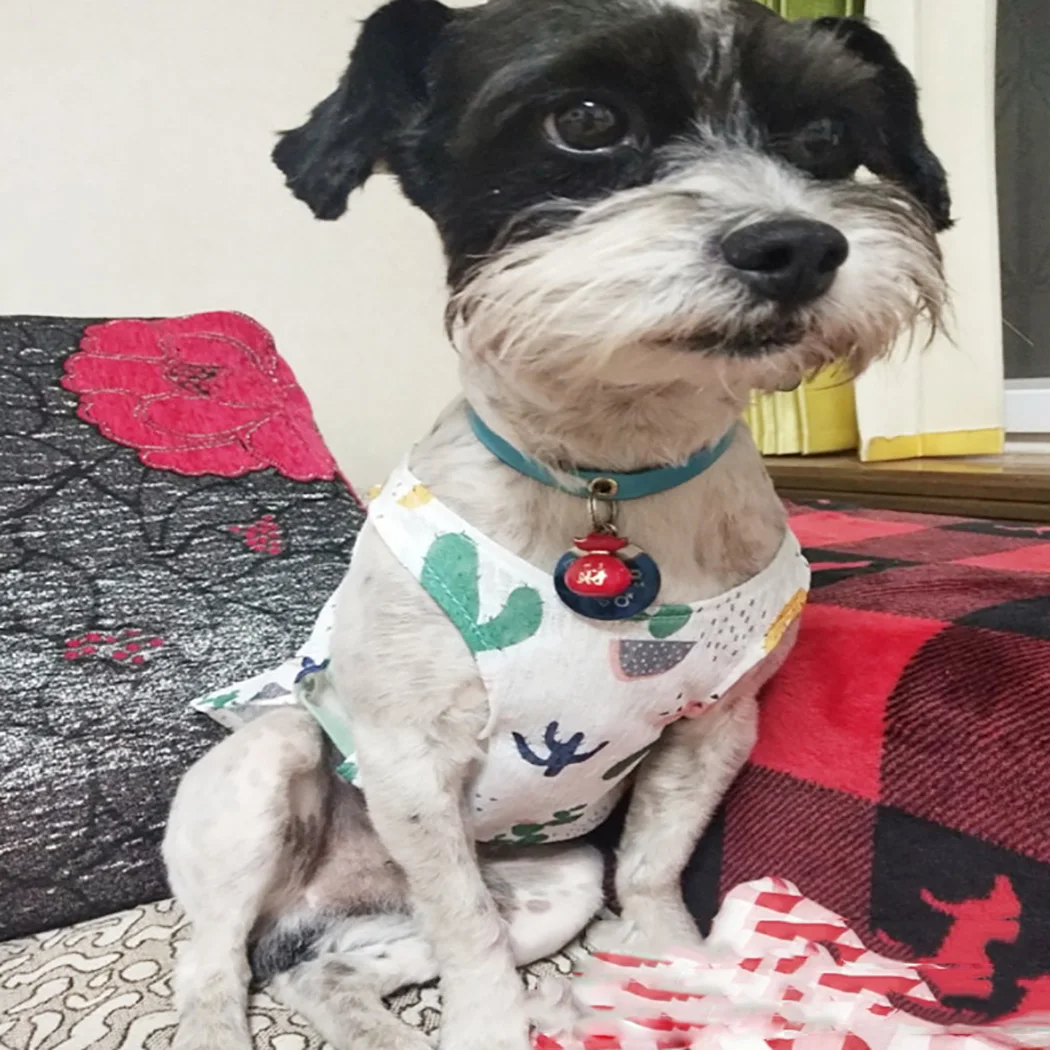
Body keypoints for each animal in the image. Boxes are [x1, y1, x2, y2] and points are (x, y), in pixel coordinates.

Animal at [162, 2, 950, 1049]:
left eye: (826, 136)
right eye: (583, 120)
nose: (801, 246)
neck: (609, 471)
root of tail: (325, 896)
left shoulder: (713, 730)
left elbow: (653, 867)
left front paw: (681, 969)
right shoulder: (411, 766)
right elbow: (468, 936)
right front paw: (493, 1026)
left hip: (552, 887)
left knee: (320, 974)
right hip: (271, 764)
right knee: (213, 964)